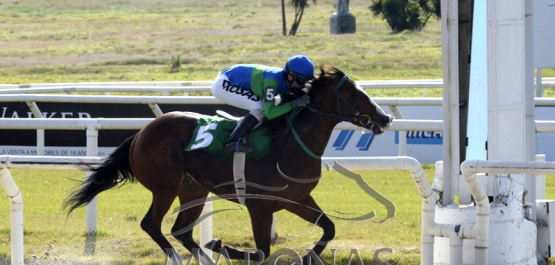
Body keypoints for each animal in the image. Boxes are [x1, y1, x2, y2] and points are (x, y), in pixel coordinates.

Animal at [63, 65, 394, 262]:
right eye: (353, 92)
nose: (385, 118)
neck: (290, 142)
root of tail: (141, 133)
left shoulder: (297, 199)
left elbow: (329, 228)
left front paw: (309, 257)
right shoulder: (259, 206)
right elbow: (261, 252)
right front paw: (221, 245)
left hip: (193, 190)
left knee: (182, 231)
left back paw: (204, 257)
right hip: (165, 187)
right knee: (152, 225)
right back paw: (185, 256)